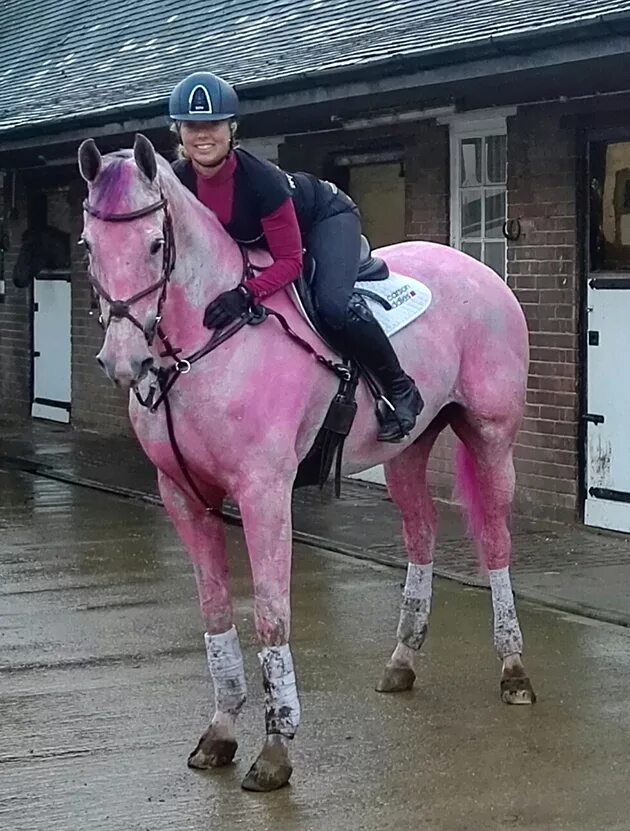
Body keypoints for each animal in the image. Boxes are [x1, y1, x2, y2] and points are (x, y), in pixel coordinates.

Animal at [76, 135, 536, 792]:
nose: (121, 362)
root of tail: (476, 269)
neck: (203, 344)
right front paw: (220, 732)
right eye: (89, 245)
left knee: (495, 541)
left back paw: (513, 669)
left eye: (156, 244)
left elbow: (272, 616)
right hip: (407, 450)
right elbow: (215, 612)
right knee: (421, 534)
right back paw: (403, 659)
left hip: (492, 435)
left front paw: (275, 751)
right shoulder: (182, 496)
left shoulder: (264, 493)